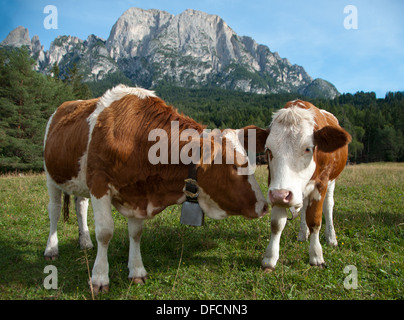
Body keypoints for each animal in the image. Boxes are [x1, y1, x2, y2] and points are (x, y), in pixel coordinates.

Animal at [43, 84, 268, 292]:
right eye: (235, 165)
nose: (264, 206)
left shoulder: (136, 194)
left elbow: (136, 233)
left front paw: (136, 271)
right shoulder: (99, 183)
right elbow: (105, 232)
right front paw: (99, 279)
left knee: (81, 205)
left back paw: (85, 242)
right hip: (51, 177)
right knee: (54, 211)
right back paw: (51, 249)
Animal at [262, 99, 350, 270]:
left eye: (308, 148)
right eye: (268, 149)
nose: (281, 195)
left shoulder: (321, 184)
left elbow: (315, 220)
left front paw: (316, 256)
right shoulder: (275, 185)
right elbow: (276, 223)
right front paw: (270, 258)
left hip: (332, 181)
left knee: (328, 206)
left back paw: (331, 238)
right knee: (303, 207)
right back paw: (303, 234)